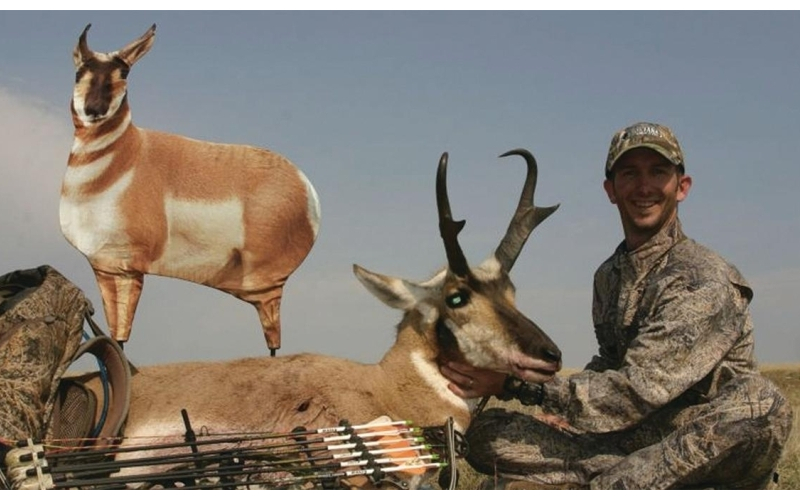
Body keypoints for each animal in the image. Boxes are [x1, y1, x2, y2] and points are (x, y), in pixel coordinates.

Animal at [59, 24, 321, 355]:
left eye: (124, 73)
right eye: (79, 72)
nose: (95, 109)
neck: (126, 157)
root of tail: (304, 184)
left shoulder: (127, 268)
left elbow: (121, 335)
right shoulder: (107, 267)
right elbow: (117, 335)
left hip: (265, 282)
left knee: (272, 335)